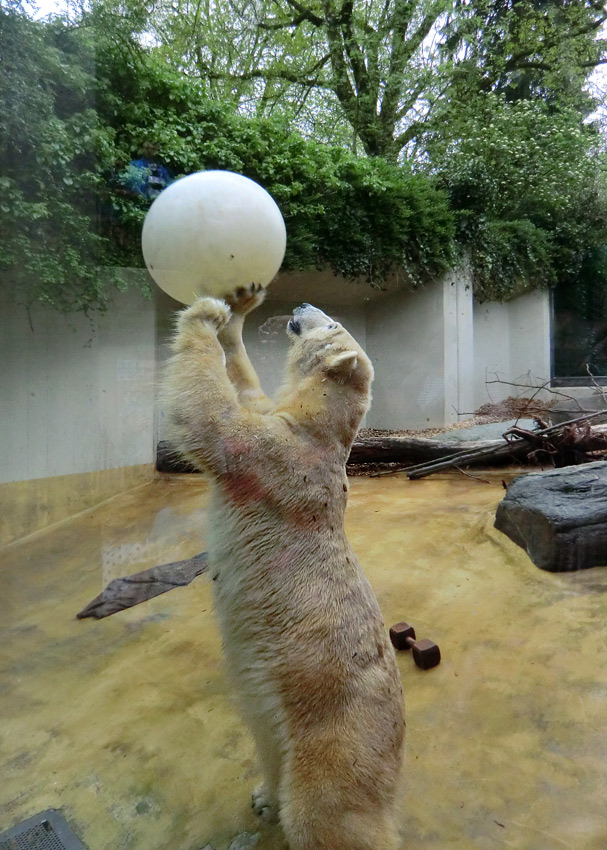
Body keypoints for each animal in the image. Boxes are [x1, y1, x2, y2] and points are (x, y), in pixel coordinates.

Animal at [164, 284, 406, 848]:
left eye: (333, 322)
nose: (301, 307)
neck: (319, 429)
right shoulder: (280, 426)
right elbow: (247, 391)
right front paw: (237, 313)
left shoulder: (275, 458)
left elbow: (215, 424)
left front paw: (205, 314)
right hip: (282, 721)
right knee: (269, 744)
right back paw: (265, 797)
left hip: (338, 740)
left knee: (327, 816)